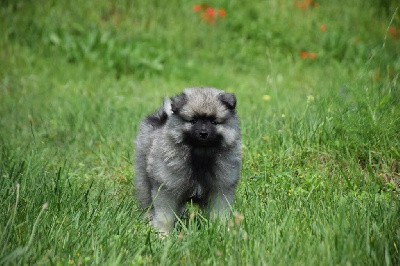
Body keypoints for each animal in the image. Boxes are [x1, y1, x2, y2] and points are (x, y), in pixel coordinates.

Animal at [134, 88, 241, 234]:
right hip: (144, 179)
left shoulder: (220, 190)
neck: (201, 154)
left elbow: (219, 213)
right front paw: (163, 234)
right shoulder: (167, 190)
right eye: (193, 121)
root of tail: (161, 118)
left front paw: (219, 230)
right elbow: (165, 216)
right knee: (147, 201)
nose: (203, 133)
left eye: (213, 122)